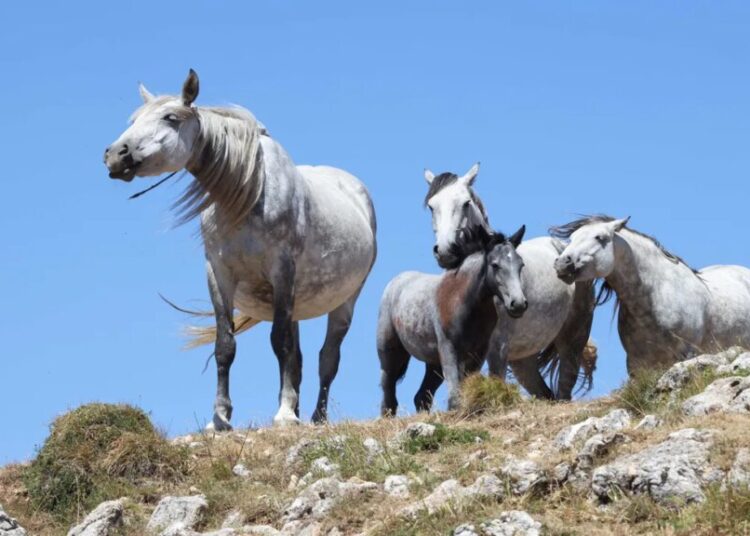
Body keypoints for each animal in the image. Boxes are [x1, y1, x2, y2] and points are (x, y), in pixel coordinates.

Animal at [104, 70, 377, 428]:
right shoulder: (219, 273)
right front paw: (219, 418)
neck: (248, 192)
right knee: (299, 360)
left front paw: (284, 414)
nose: (115, 155)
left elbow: (279, 342)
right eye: (134, 120)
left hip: (345, 301)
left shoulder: (281, 270)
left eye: (170, 118)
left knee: (327, 358)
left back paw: (316, 417)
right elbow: (226, 345)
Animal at [377, 225, 527, 414]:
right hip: (389, 354)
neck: (465, 303)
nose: (518, 304)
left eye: (521, 264)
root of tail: (396, 282)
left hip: (434, 363)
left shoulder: (478, 353)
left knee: (422, 397)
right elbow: (455, 395)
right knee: (388, 397)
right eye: (495, 265)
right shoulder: (449, 348)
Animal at [423, 164, 596, 399]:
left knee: (564, 389)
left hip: (572, 339)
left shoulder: (498, 348)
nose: (445, 250)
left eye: (466, 203)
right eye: (432, 206)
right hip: (523, 360)